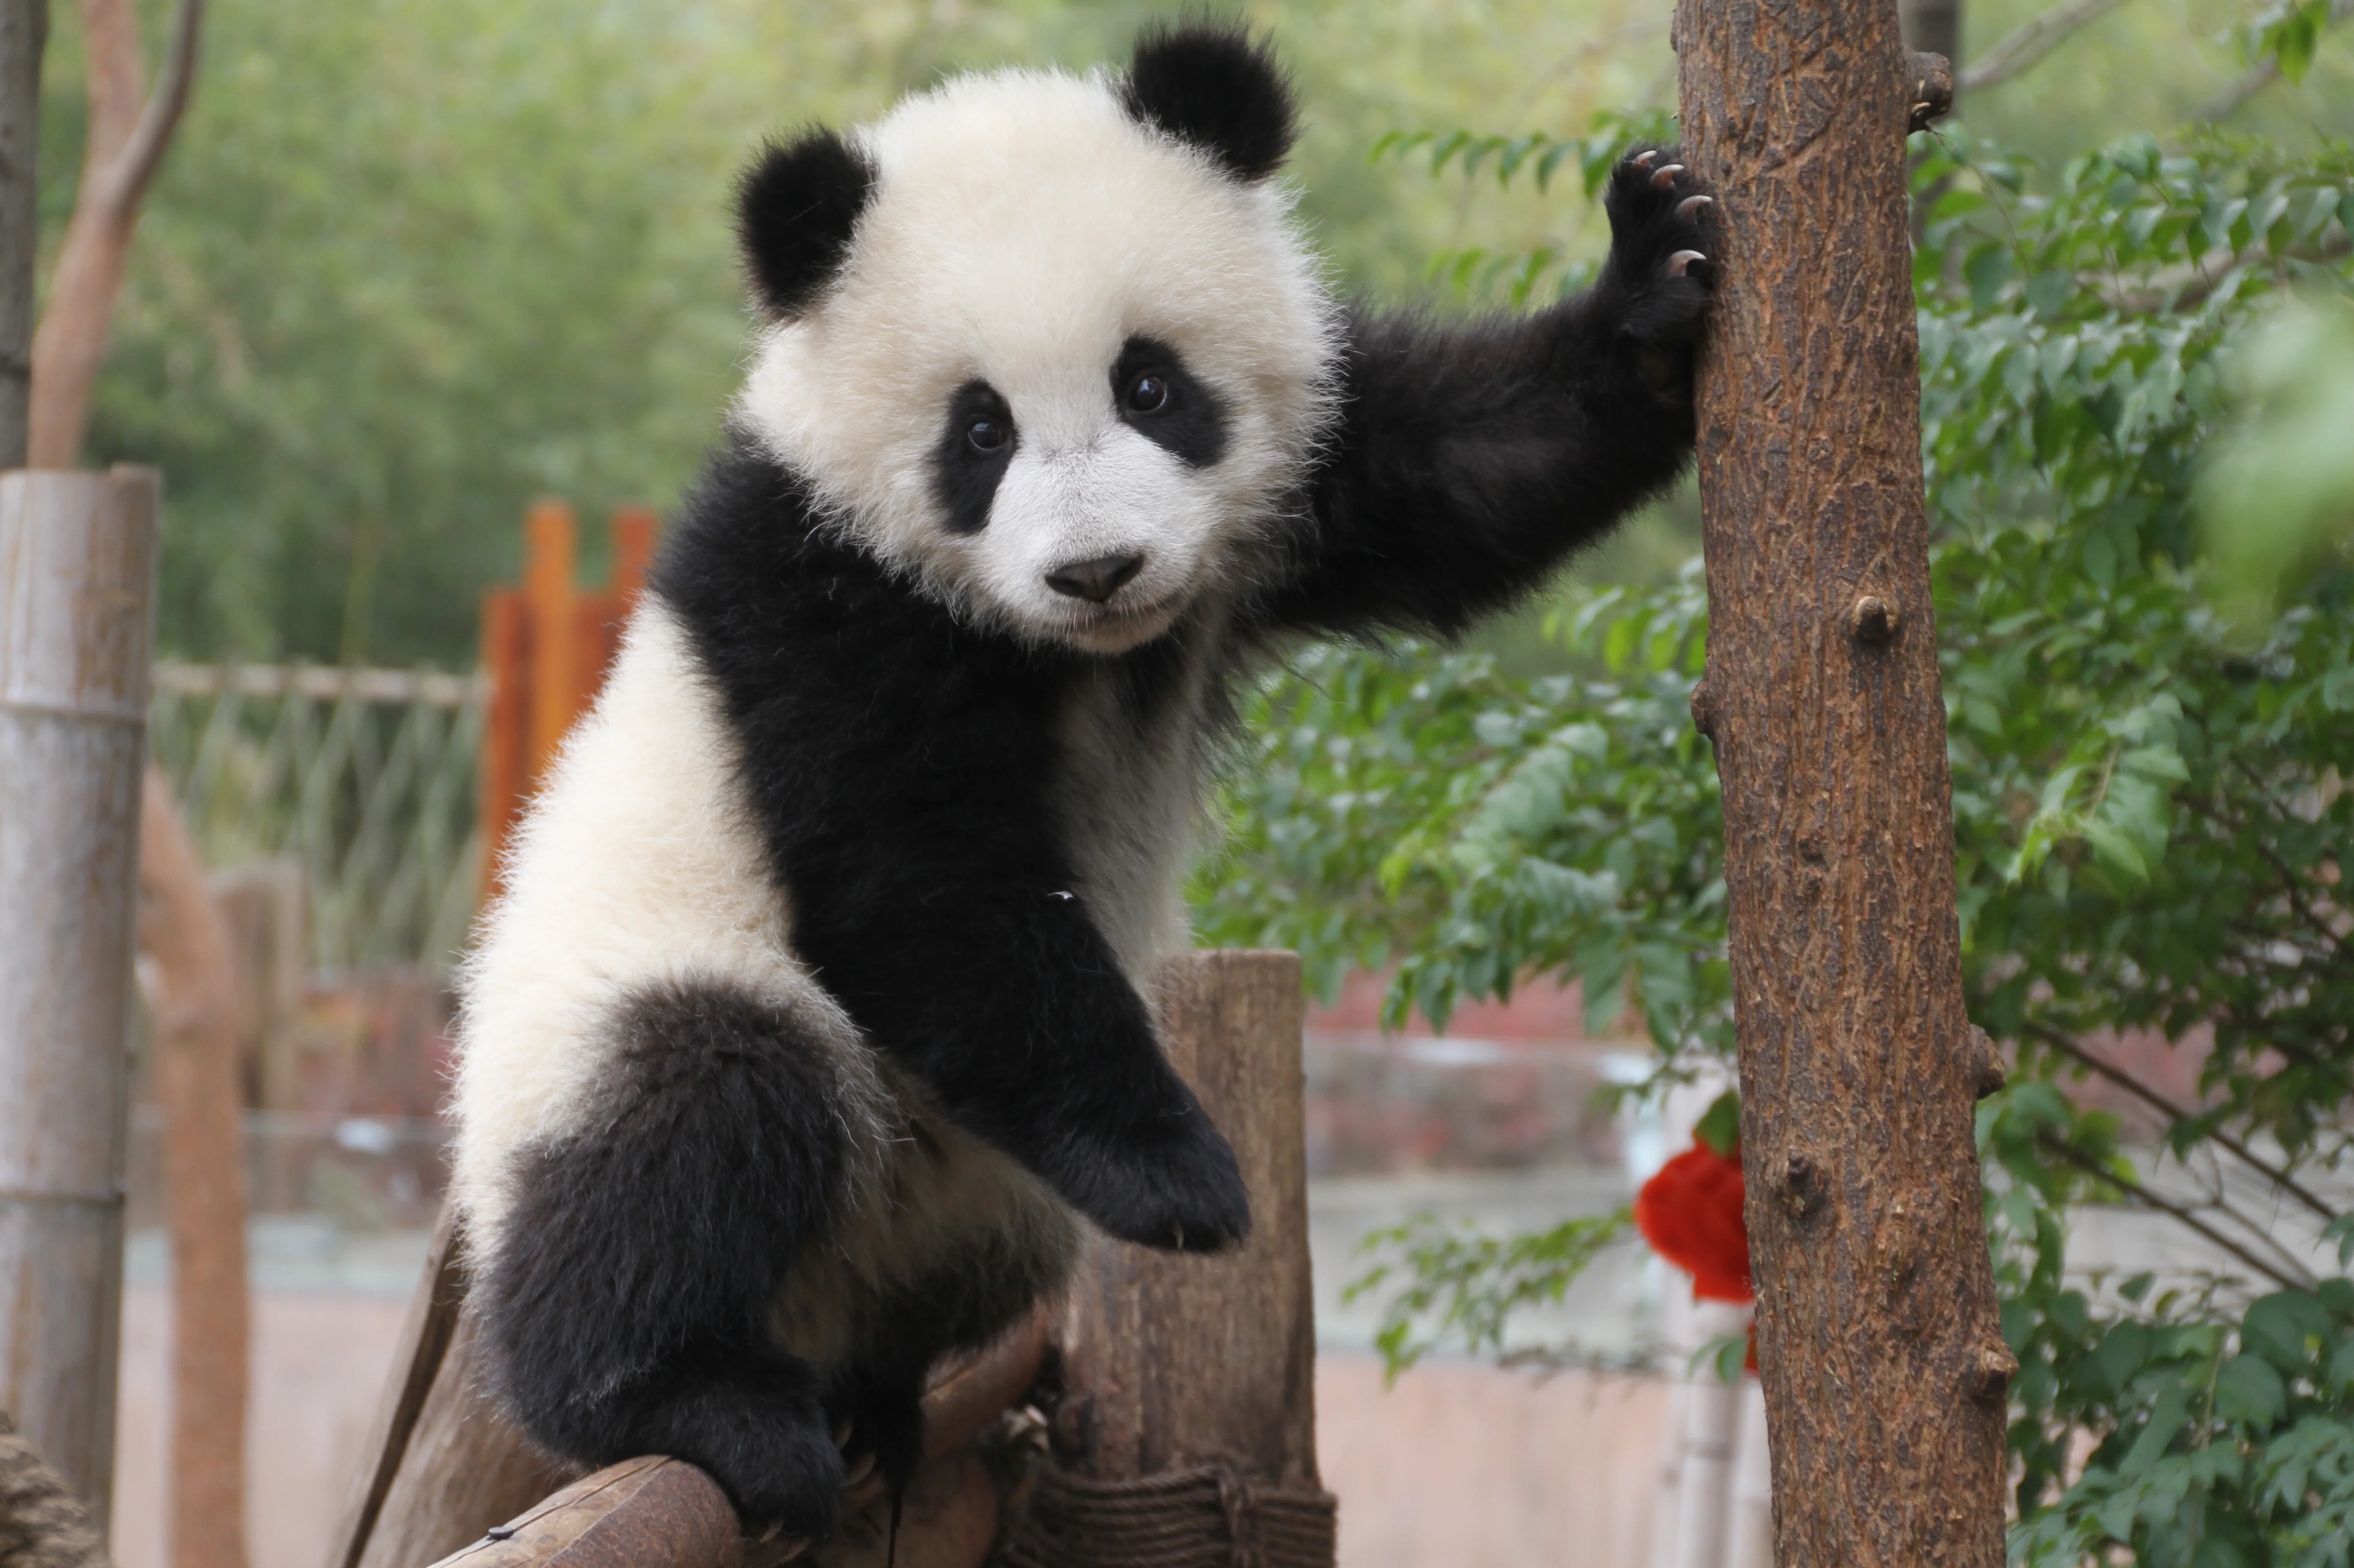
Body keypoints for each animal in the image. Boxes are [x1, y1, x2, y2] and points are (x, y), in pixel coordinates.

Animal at [452, 22, 1713, 1539]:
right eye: (979, 431)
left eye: (1151, 385)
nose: (1099, 568)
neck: (1070, 650)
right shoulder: (822, 595)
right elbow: (924, 878)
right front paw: (1181, 1175)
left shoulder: (1312, 470)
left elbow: (1474, 471)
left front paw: (1659, 266)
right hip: (605, 1020)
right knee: (694, 1103)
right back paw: (695, 1406)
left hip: (978, 1208)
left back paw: (876, 1402)